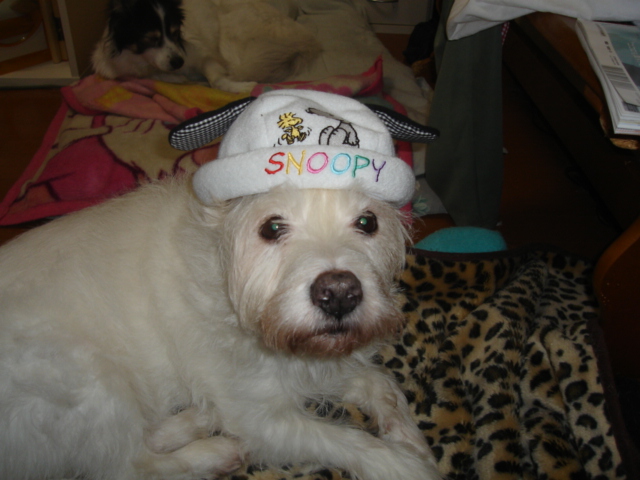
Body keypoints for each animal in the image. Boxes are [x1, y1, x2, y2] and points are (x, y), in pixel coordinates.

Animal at [0, 90, 441, 480]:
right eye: (272, 227)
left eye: (368, 222)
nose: (339, 296)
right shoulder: (262, 419)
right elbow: (347, 441)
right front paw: (406, 467)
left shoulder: (317, 362)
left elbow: (379, 381)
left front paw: (409, 437)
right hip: (89, 378)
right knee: (125, 466)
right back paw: (213, 451)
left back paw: (195, 418)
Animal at [91, 0, 322, 92]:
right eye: (151, 39)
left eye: (175, 33)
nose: (178, 62)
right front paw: (178, 78)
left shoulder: (205, 55)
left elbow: (217, 81)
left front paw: (243, 87)